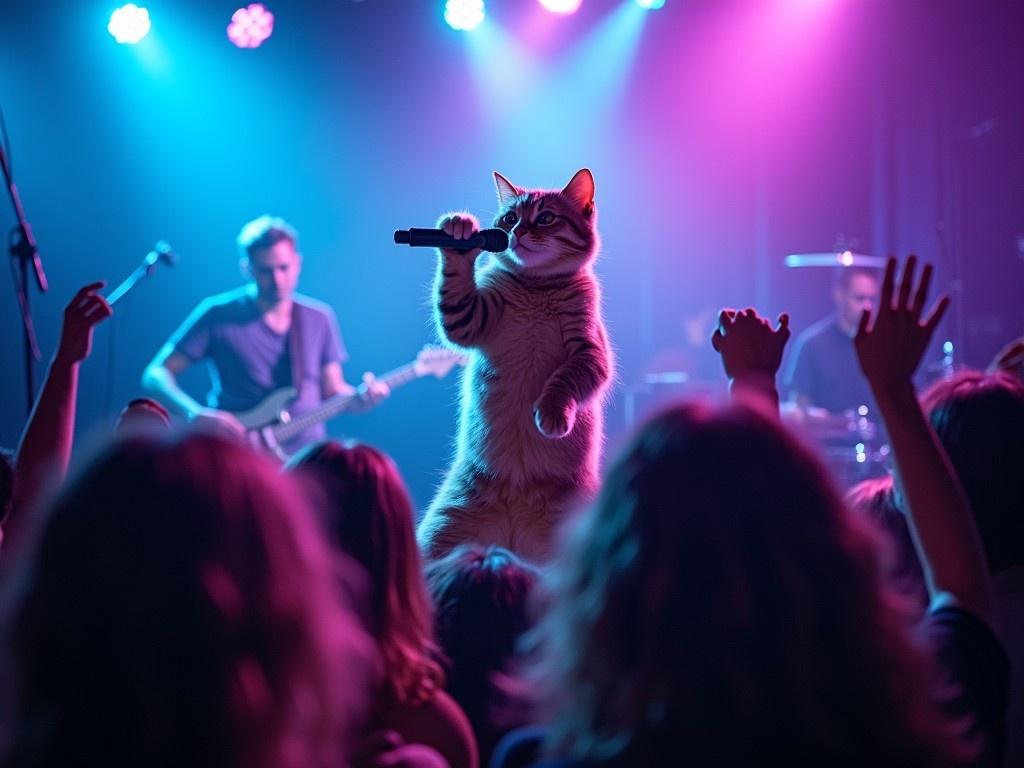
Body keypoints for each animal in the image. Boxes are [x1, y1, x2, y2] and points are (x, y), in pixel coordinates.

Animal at [417, 169, 610, 565]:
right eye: (509, 219)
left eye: (546, 218)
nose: (516, 232)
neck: (538, 288)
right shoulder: (470, 320)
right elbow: (454, 293)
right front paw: (458, 236)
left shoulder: (590, 353)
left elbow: (562, 382)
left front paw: (552, 414)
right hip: (440, 534)